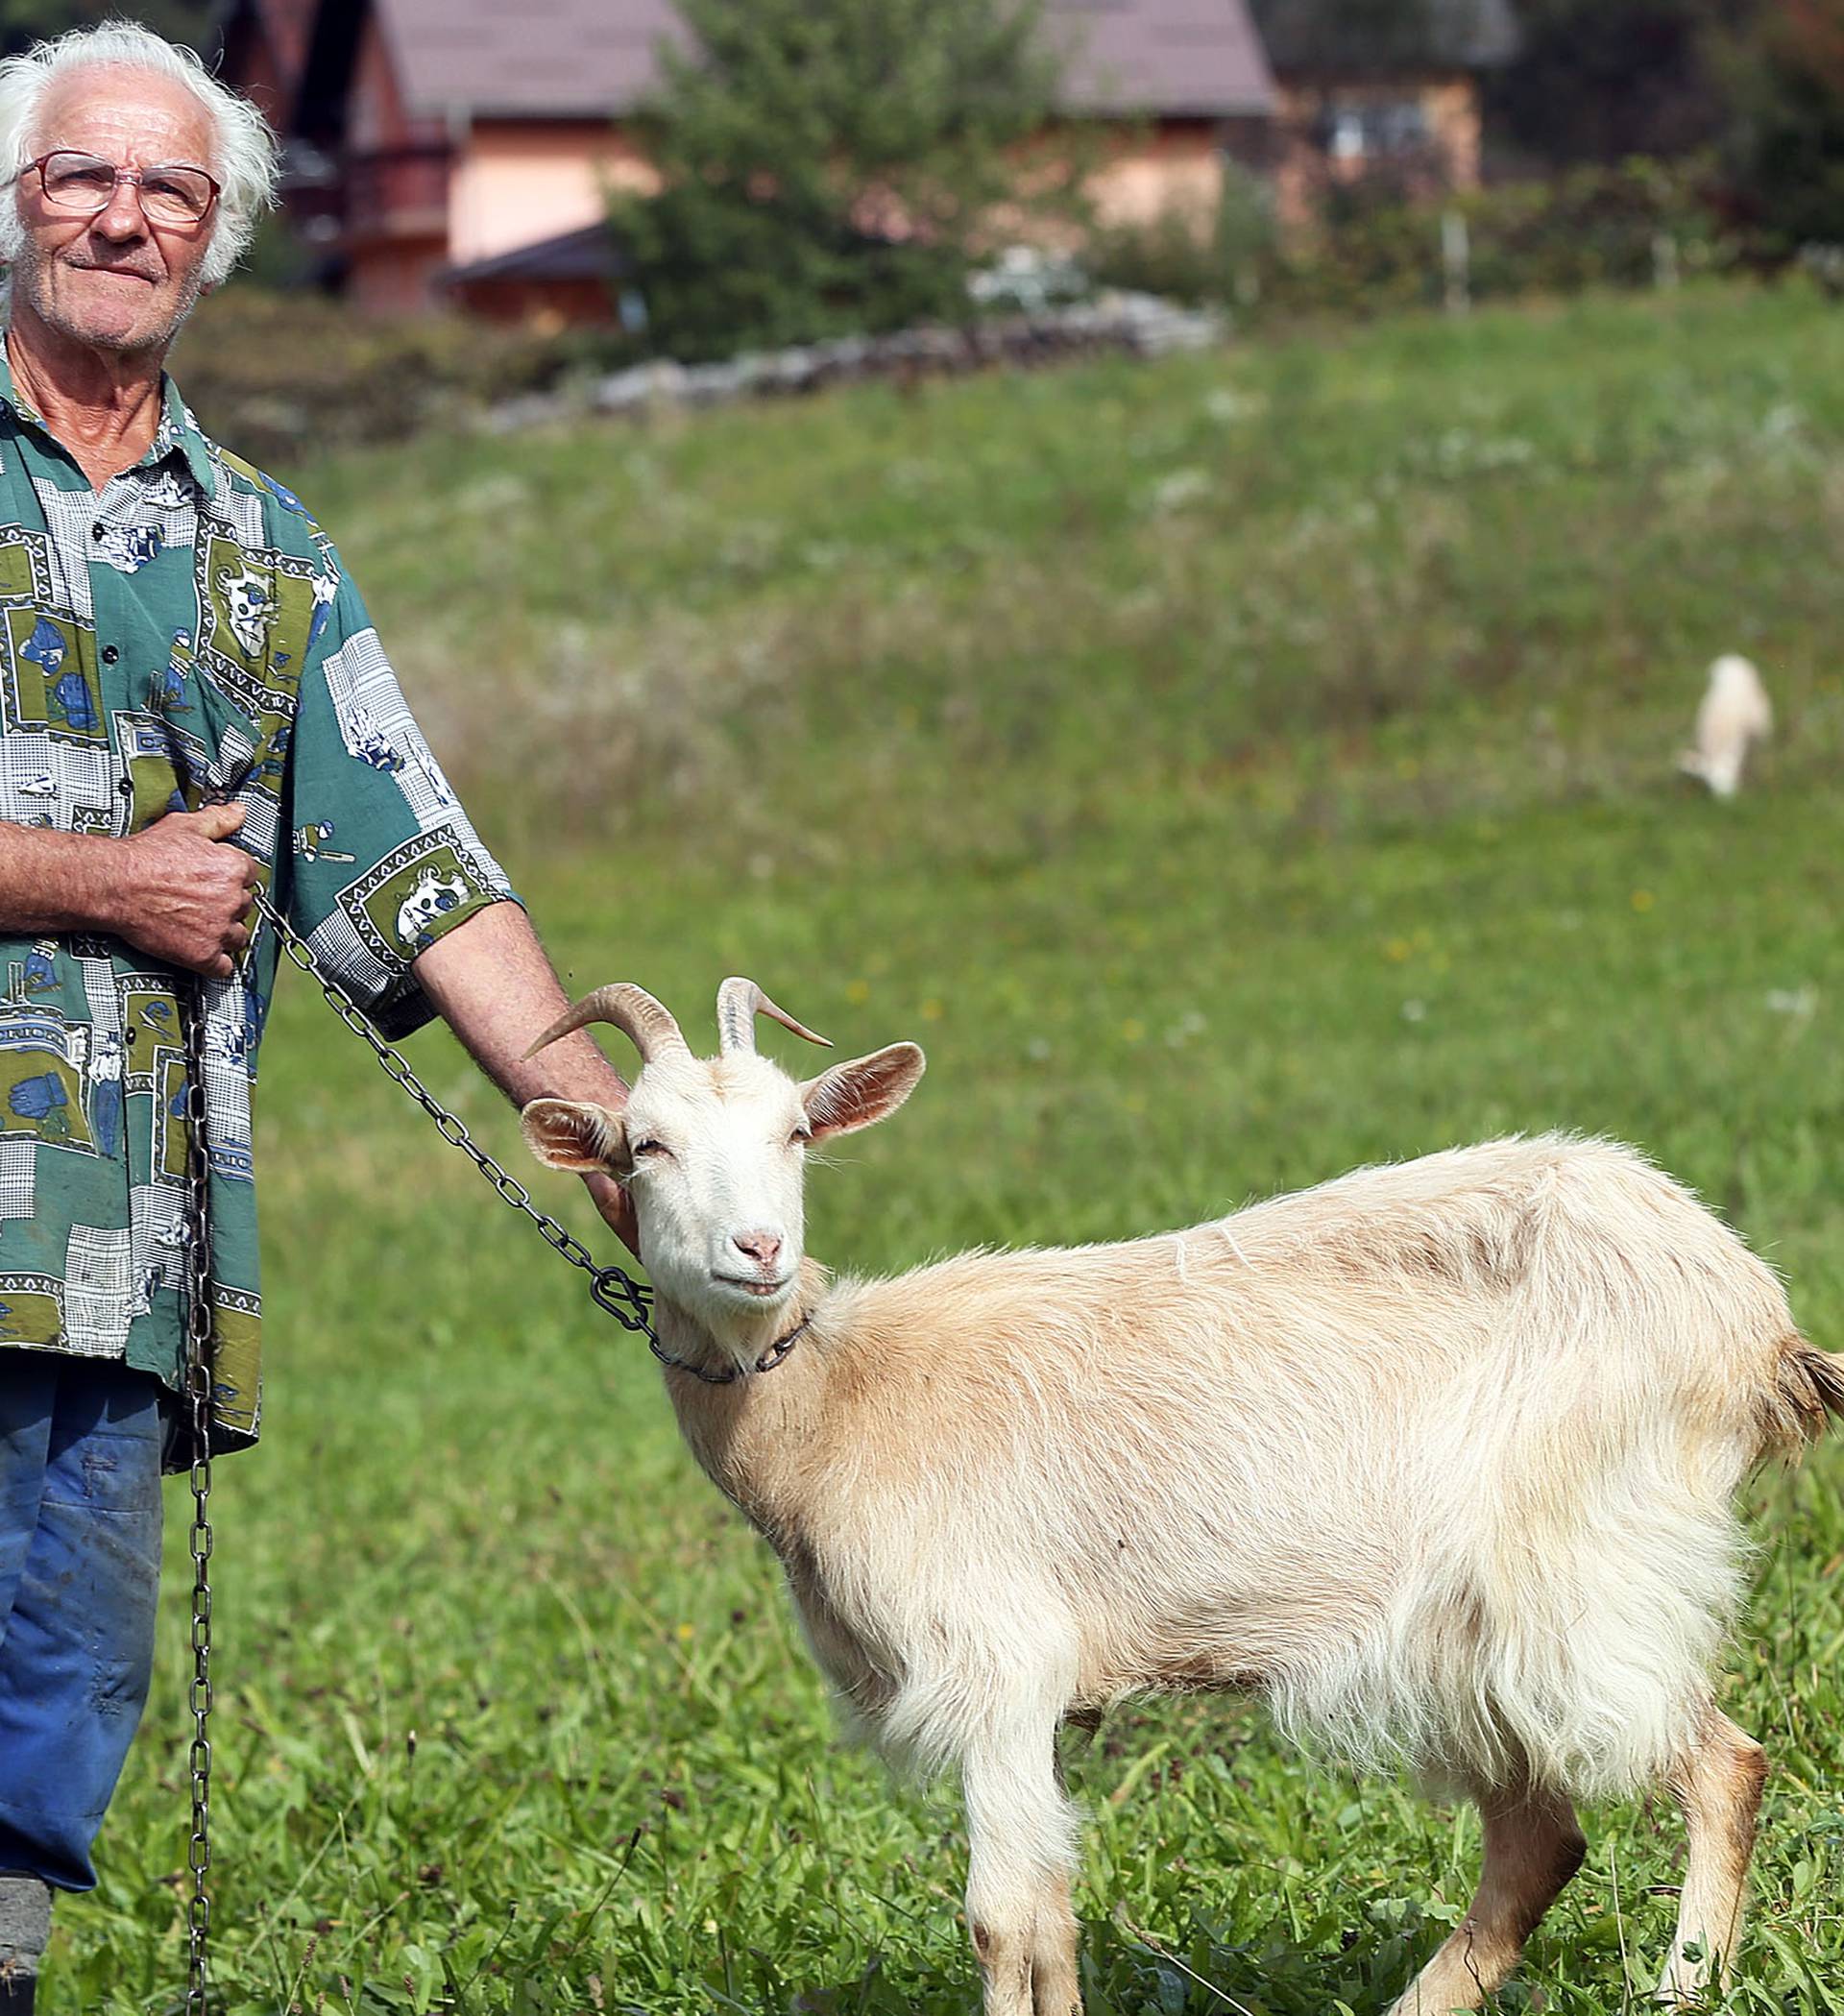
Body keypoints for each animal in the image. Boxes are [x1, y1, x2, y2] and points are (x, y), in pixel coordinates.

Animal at [520, 980, 1844, 2016]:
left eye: (798, 1129)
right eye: (644, 1146)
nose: (757, 1251)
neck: (837, 1400)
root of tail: (1755, 1317)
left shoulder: (993, 1661)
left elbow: (1003, 1915)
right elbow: (1052, 1909)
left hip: (1581, 1567)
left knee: (1721, 1767)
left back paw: (1682, 1984)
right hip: (1468, 1626)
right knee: (1539, 1839)